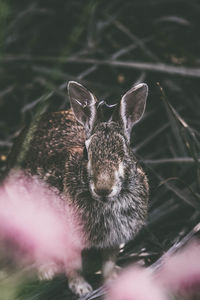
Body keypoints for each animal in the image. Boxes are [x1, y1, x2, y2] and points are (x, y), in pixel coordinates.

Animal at [7, 81, 148, 296]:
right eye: (86, 152)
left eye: (125, 152)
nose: (103, 188)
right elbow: (74, 264)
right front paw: (81, 288)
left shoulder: (114, 239)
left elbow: (108, 262)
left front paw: (113, 281)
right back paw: (46, 271)